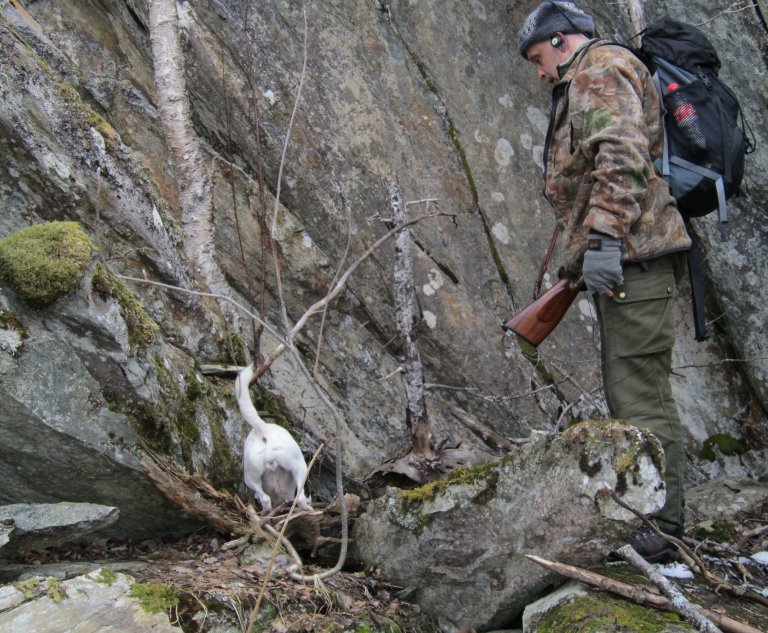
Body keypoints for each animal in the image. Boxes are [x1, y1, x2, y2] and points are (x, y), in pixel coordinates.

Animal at [237, 362, 316, 512]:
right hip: (300, 467)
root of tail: (263, 429)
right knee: (299, 498)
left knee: (265, 499)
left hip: (251, 476)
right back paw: (308, 510)